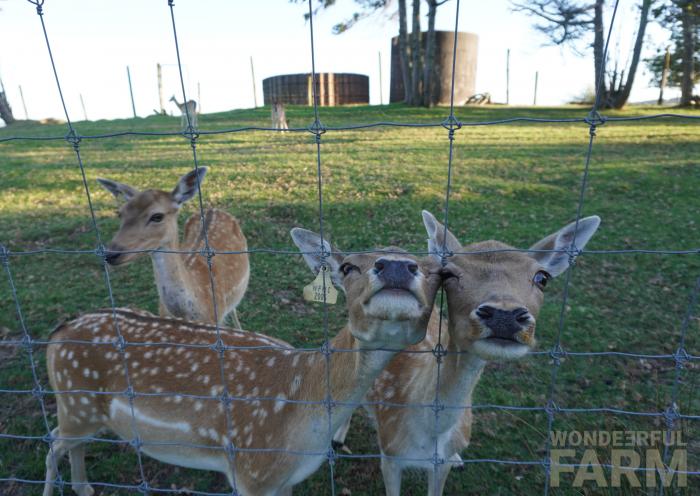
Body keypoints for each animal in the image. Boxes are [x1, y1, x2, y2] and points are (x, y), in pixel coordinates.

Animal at [41, 229, 440, 496]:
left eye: (436, 271)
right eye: (346, 267)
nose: (397, 268)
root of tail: (59, 333)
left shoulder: (283, 479)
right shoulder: (250, 471)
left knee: (69, 443)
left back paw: (85, 488)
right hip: (75, 404)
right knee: (53, 441)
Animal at [334, 210, 600, 496]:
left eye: (543, 277)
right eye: (449, 274)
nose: (504, 315)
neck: (428, 437)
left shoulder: (440, 464)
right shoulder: (389, 453)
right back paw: (337, 437)